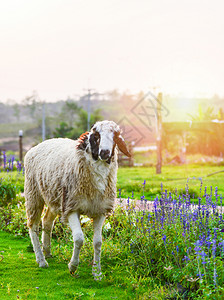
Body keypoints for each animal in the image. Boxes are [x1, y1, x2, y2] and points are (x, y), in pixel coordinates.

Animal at [23, 120, 130, 280]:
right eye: (96, 136)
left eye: (115, 136)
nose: (105, 153)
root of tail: (38, 145)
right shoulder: (71, 207)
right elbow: (79, 238)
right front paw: (72, 267)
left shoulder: (100, 211)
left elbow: (98, 242)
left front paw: (97, 272)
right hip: (33, 193)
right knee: (33, 226)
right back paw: (41, 260)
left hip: (54, 197)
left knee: (47, 221)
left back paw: (47, 252)